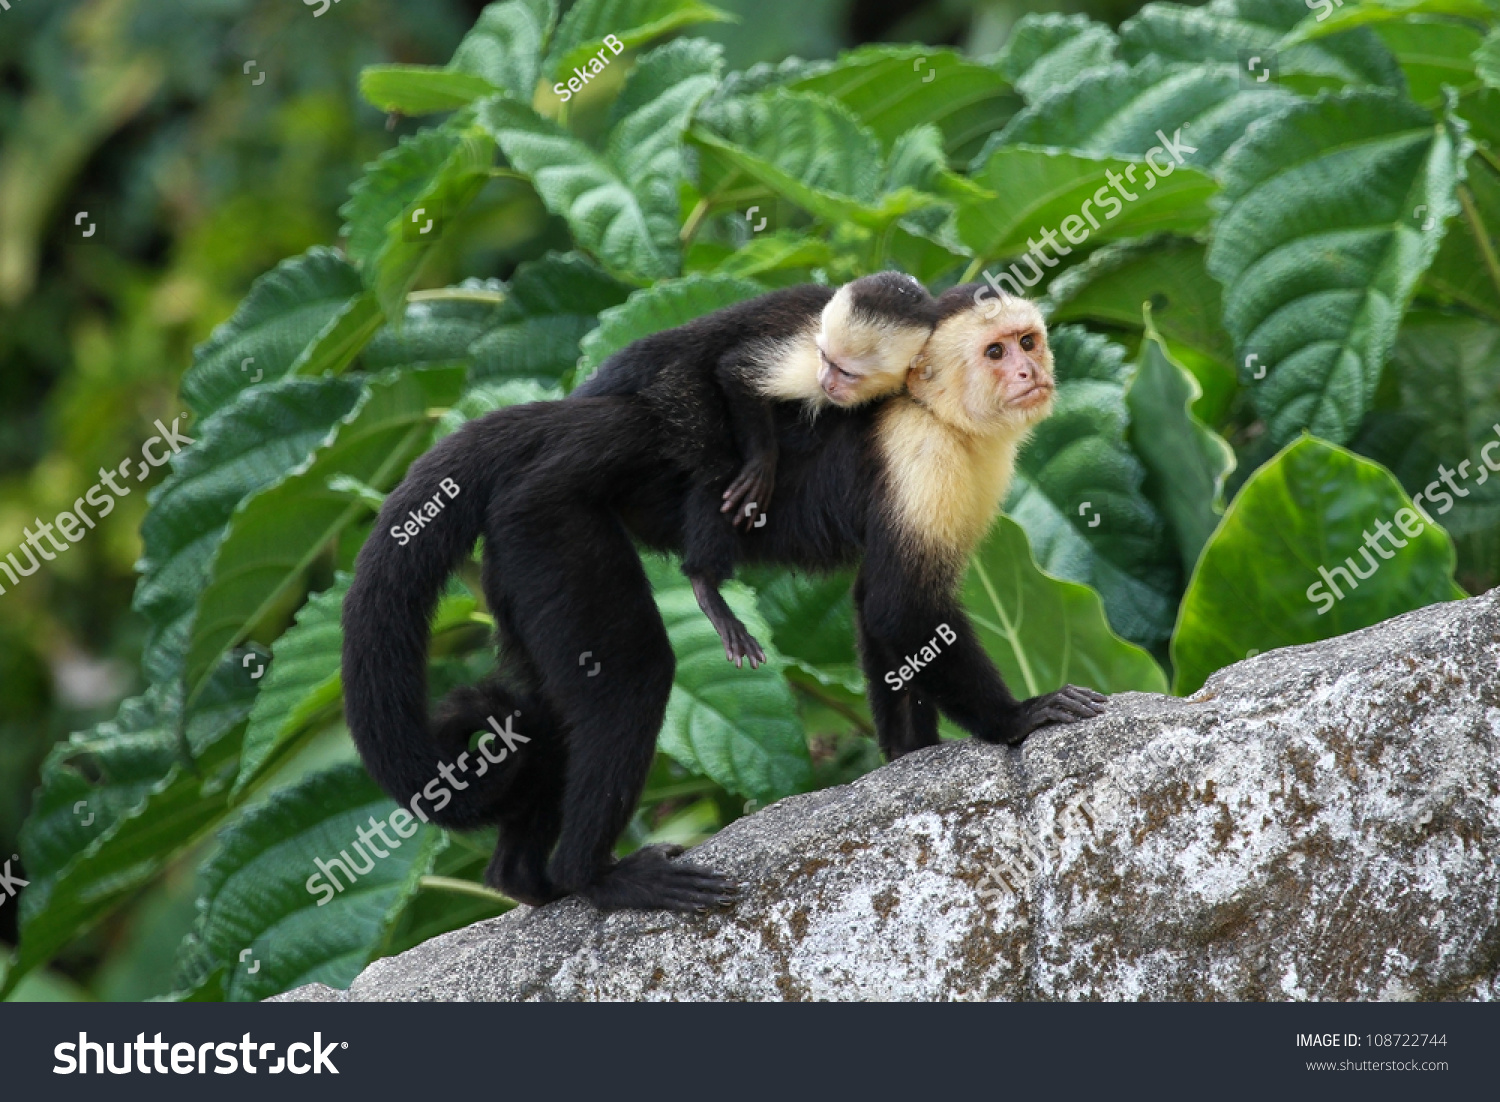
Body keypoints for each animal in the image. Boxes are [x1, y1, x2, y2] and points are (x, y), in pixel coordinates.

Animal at [573, 275, 936, 671]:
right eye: (826, 359)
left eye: (848, 372)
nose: (828, 383)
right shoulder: (806, 355)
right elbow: (736, 371)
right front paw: (763, 463)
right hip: (676, 382)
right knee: (716, 460)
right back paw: (705, 582)